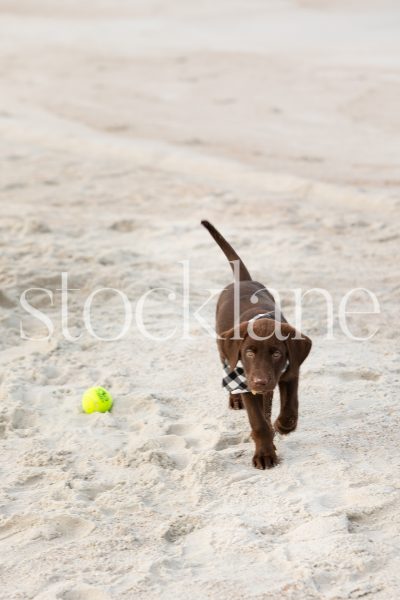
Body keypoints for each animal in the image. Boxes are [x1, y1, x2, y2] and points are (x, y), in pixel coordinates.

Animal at [202, 220, 310, 468]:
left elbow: (290, 404)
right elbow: (258, 422)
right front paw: (265, 454)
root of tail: (242, 281)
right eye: (249, 353)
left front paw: (283, 425)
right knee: (228, 369)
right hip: (225, 353)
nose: (260, 381)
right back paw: (235, 399)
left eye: (277, 354)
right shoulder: (247, 380)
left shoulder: (290, 370)